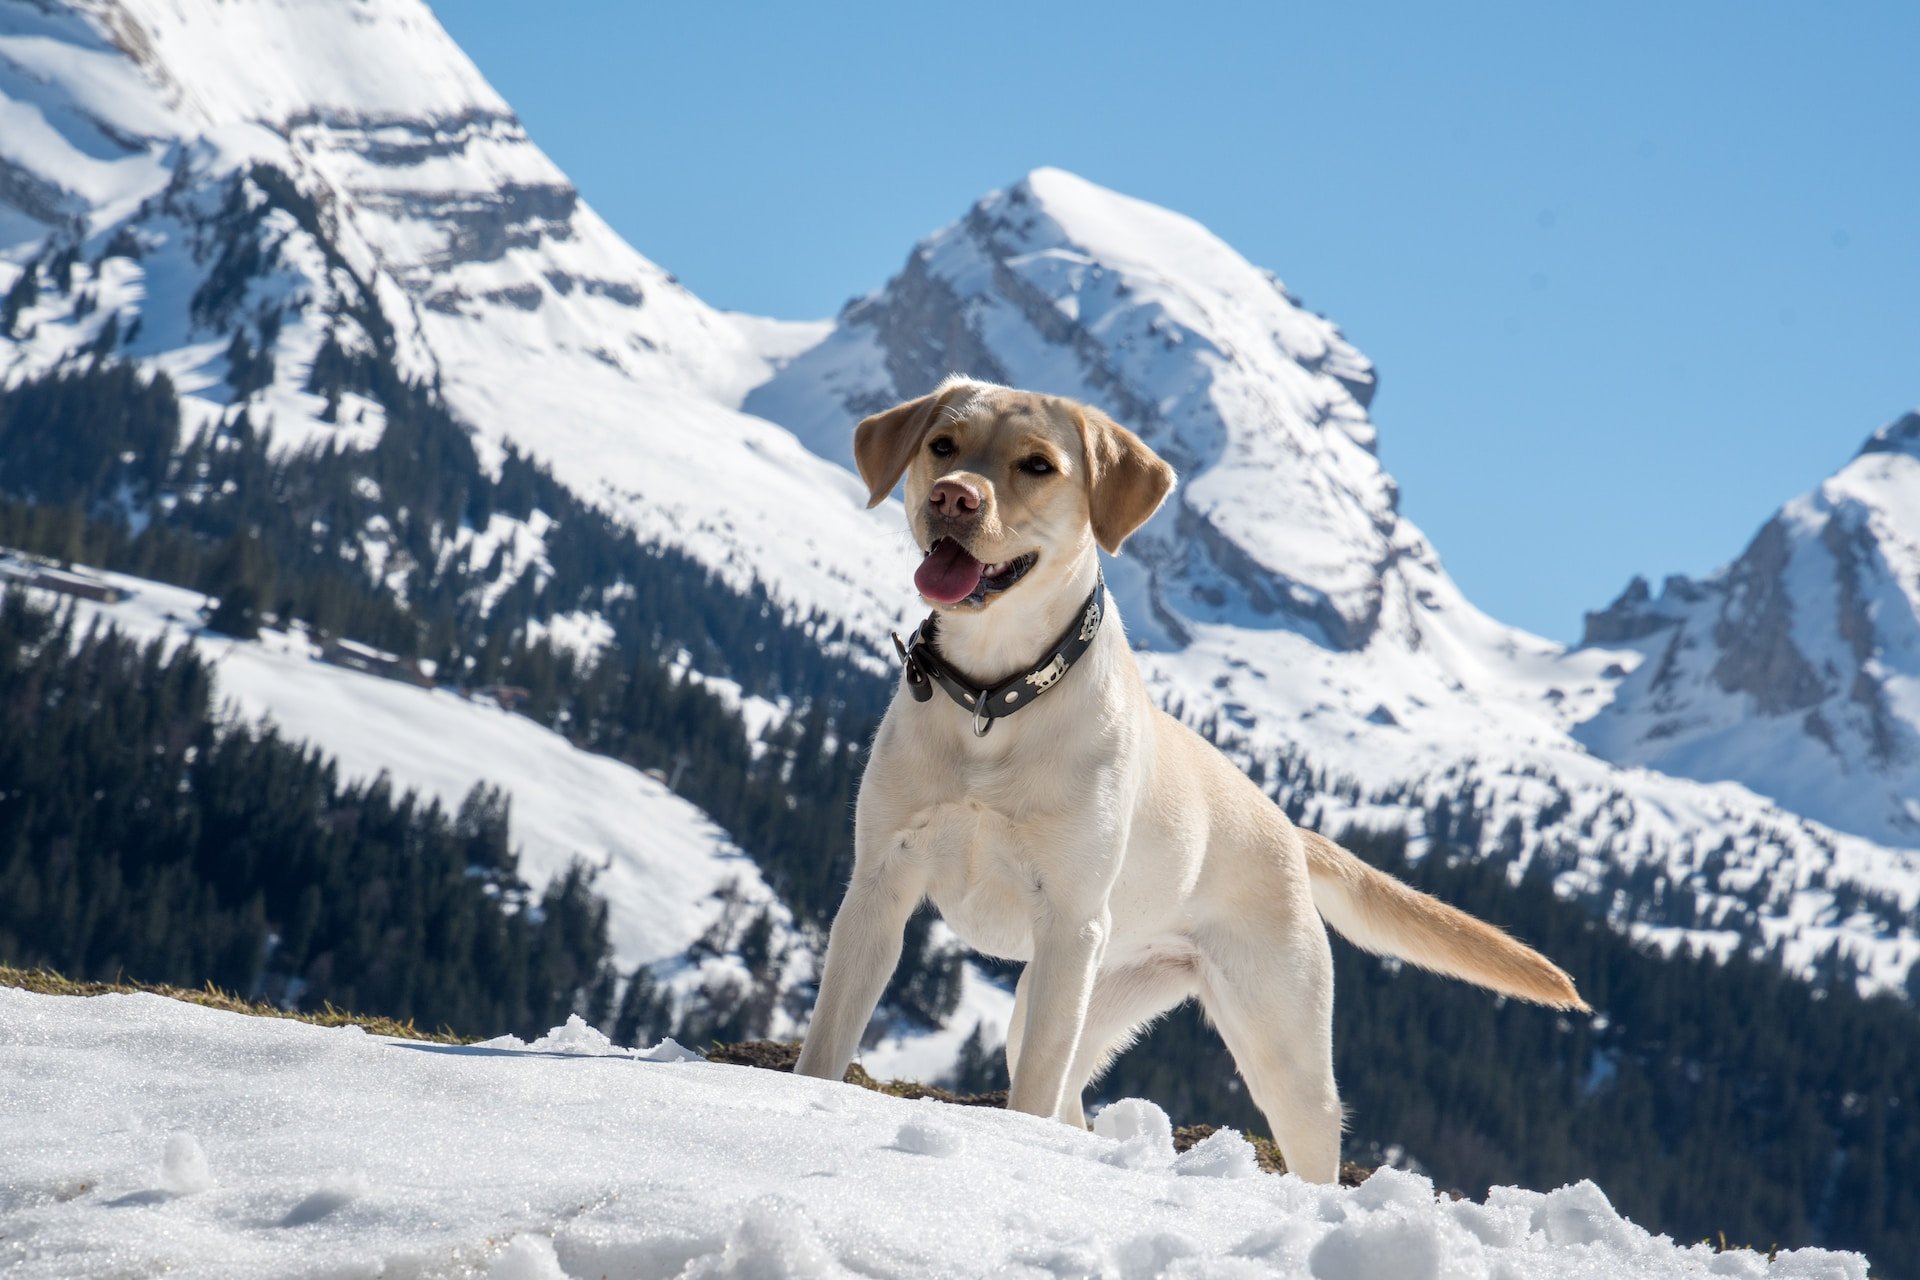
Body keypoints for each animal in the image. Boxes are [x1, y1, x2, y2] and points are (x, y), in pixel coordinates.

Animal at [787, 378, 1582, 1182]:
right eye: (941, 446)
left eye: (1038, 465)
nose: (952, 497)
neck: (993, 695)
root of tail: (1289, 831)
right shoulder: (880, 885)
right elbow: (828, 1040)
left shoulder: (1068, 918)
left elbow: (1033, 1082)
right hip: (1095, 985)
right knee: (1066, 1090)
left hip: (1269, 1035)